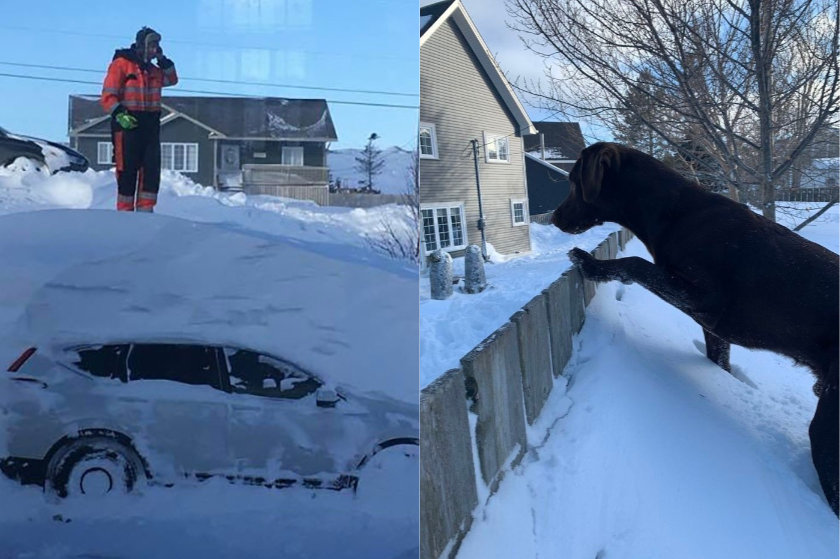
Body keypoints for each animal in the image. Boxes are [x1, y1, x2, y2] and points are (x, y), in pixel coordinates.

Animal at [556, 141, 836, 516]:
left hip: (828, 432)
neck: (674, 211)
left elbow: (634, 263)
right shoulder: (714, 328)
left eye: (573, 181)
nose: (555, 218)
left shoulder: (705, 299)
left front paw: (592, 265)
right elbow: (718, 361)